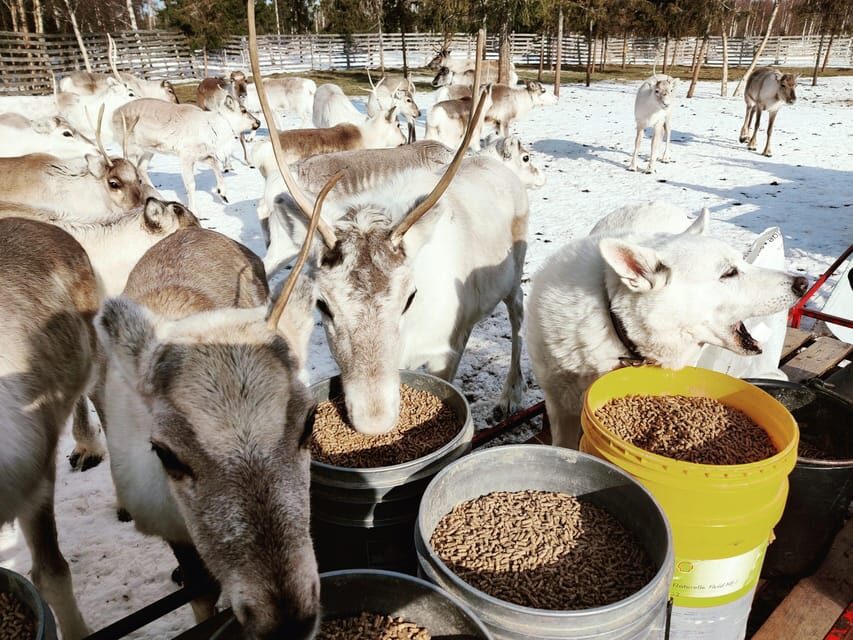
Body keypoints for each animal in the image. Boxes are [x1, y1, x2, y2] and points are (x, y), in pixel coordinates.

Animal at [113, 96, 260, 211]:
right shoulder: (186, 156)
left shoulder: (200, 154)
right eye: (243, 110)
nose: (258, 122)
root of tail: (114, 114)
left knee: (141, 168)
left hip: (149, 150)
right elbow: (191, 184)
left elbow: (215, 164)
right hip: (131, 148)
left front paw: (222, 193)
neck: (215, 128)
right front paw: (195, 211)